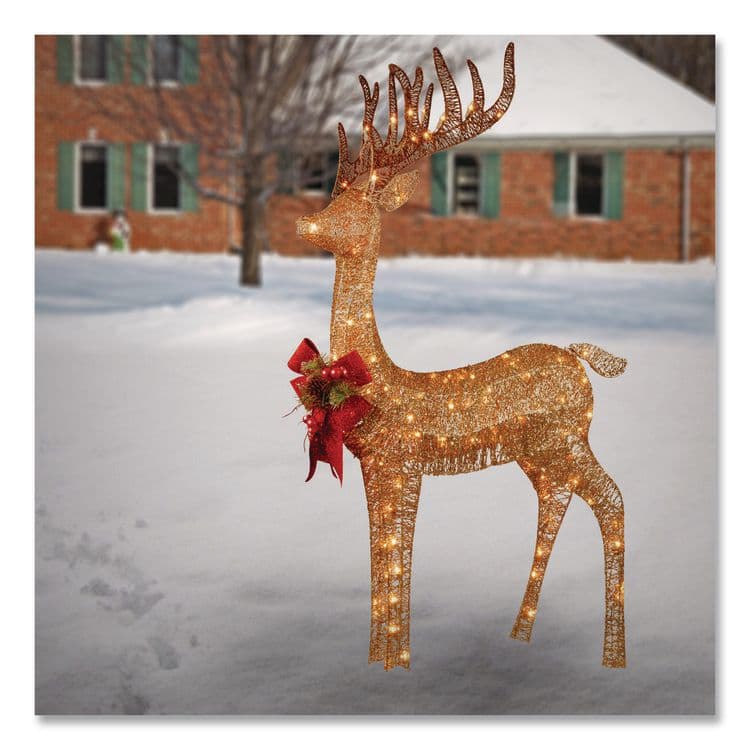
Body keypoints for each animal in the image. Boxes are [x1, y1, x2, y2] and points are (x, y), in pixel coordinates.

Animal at [295, 43, 627, 671]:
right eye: (331, 194)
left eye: (357, 207)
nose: (304, 223)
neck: (378, 381)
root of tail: (579, 359)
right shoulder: (378, 468)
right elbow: (383, 562)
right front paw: (381, 663)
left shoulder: (401, 464)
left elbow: (396, 562)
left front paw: (395, 662)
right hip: (539, 454)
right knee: (558, 504)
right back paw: (520, 635)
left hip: (568, 439)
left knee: (612, 500)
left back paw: (613, 658)